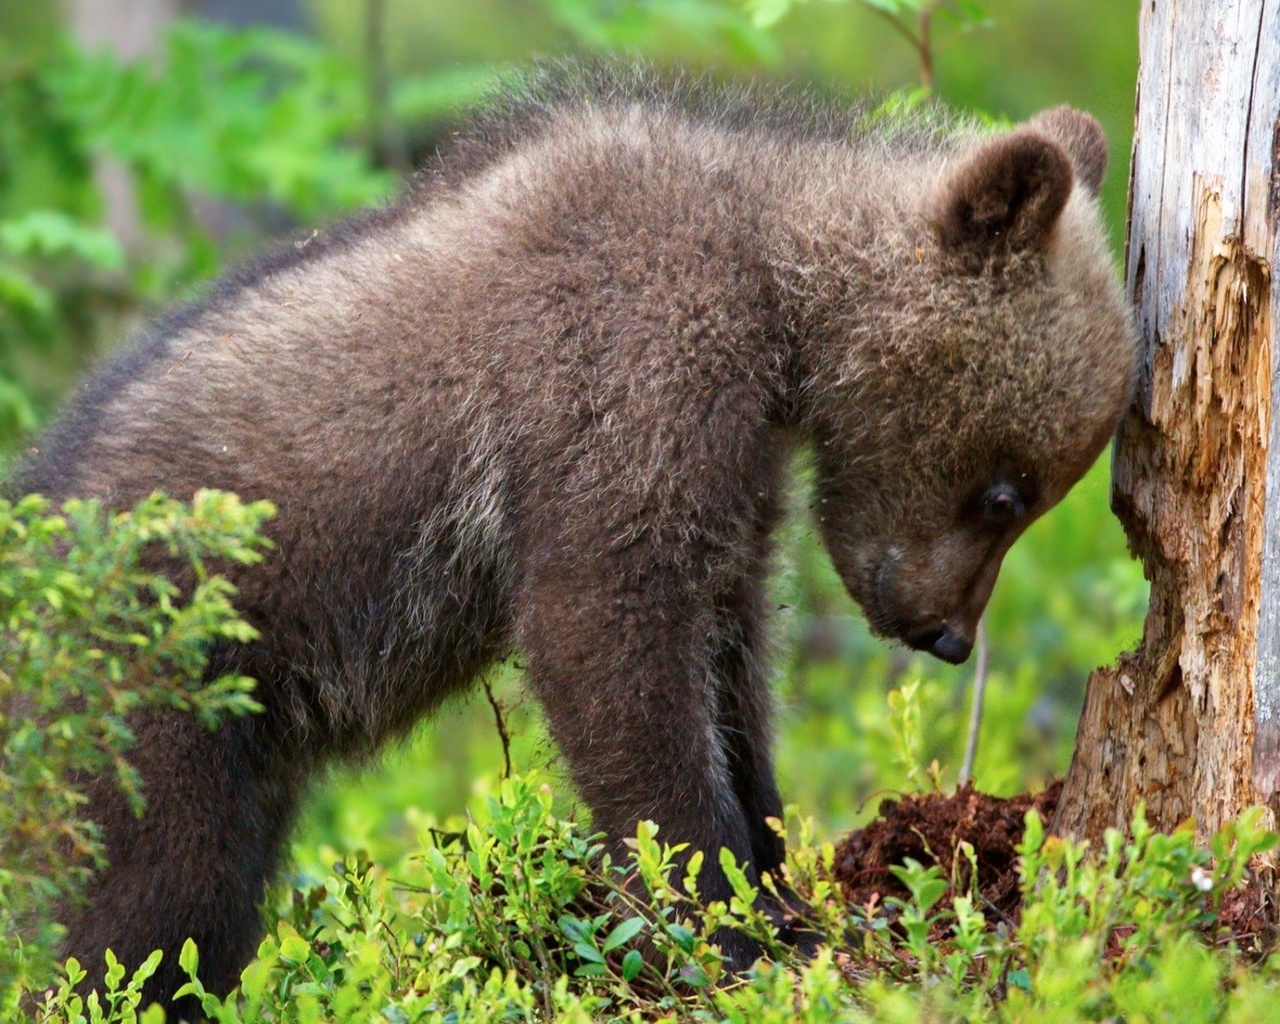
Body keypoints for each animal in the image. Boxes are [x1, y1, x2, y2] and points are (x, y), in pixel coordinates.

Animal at [10, 65, 1131, 1013]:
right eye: (1007, 490)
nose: (945, 633)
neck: (774, 298)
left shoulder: (736, 487)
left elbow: (733, 669)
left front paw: (781, 888)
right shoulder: (614, 388)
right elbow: (609, 649)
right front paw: (728, 930)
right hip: (156, 689)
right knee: (152, 900)